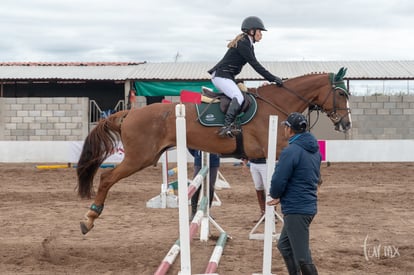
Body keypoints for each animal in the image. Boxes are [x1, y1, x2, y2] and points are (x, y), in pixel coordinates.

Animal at [76, 68, 350, 234]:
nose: (346, 124)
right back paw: (89, 218)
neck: (276, 103)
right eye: (340, 93)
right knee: (107, 178)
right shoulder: (272, 146)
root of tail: (129, 113)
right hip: (139, 157)